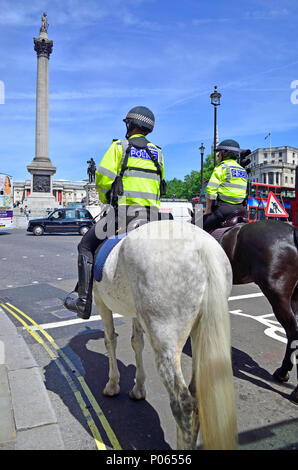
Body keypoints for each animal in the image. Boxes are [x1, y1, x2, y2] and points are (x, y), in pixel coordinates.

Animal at [93, 218, 237, 450]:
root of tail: (204, 248)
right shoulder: (136, 313)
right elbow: (136, 343)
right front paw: (138, 388)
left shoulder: (100, 302)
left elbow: (110, 341)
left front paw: (113, 384)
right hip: (198, 334)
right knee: (195, 394)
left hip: (165, 340)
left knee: (183, 404)